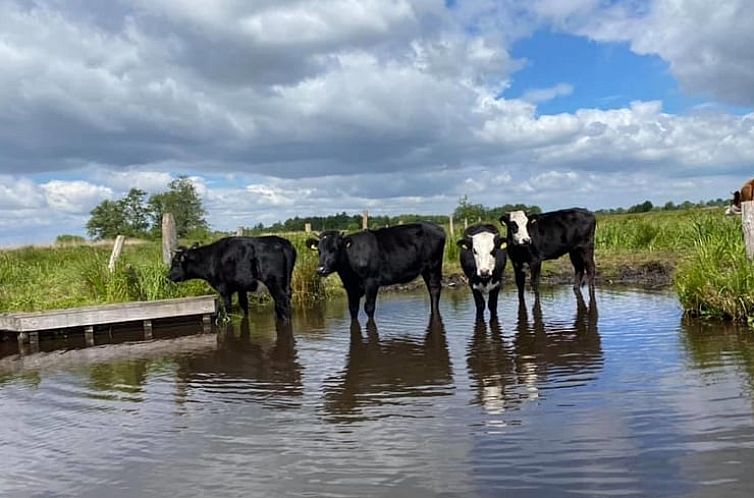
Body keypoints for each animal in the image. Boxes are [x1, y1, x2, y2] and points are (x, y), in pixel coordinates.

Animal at [306, 221, 446, 320]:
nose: (321, 269)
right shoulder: (350, 286)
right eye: (319, 250)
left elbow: (369, 307)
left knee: (435, 289)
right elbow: (353, 308)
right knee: (431, 289)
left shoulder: (371, 282)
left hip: (434, 265)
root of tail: (437, 227)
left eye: (334, 249)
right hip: (426, 270)